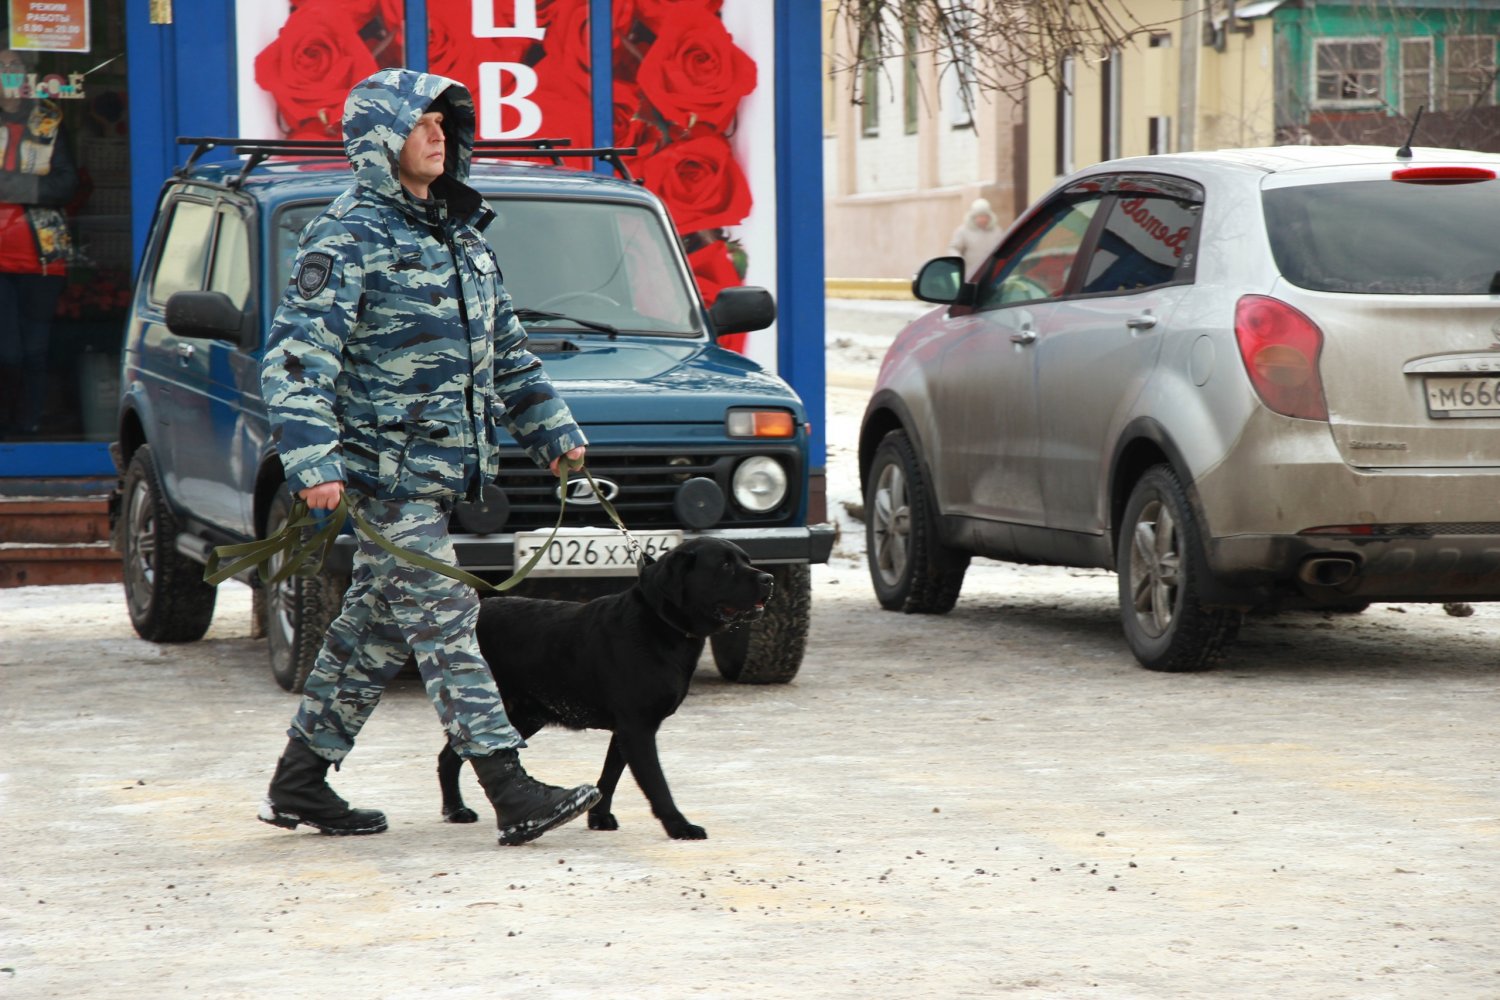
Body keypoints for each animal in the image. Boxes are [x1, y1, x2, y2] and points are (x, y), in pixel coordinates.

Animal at [435, 536, 774, 839]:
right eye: (725, 565)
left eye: (747, 560)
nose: (769, 578)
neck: (661, 624)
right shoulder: (637, 728)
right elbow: (657, 783)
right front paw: (679, 827)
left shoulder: (625, 730)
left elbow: (609, 775)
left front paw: (599, 817)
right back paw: (458, 810)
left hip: (520, 715)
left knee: (452, 756)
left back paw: (456, 810)